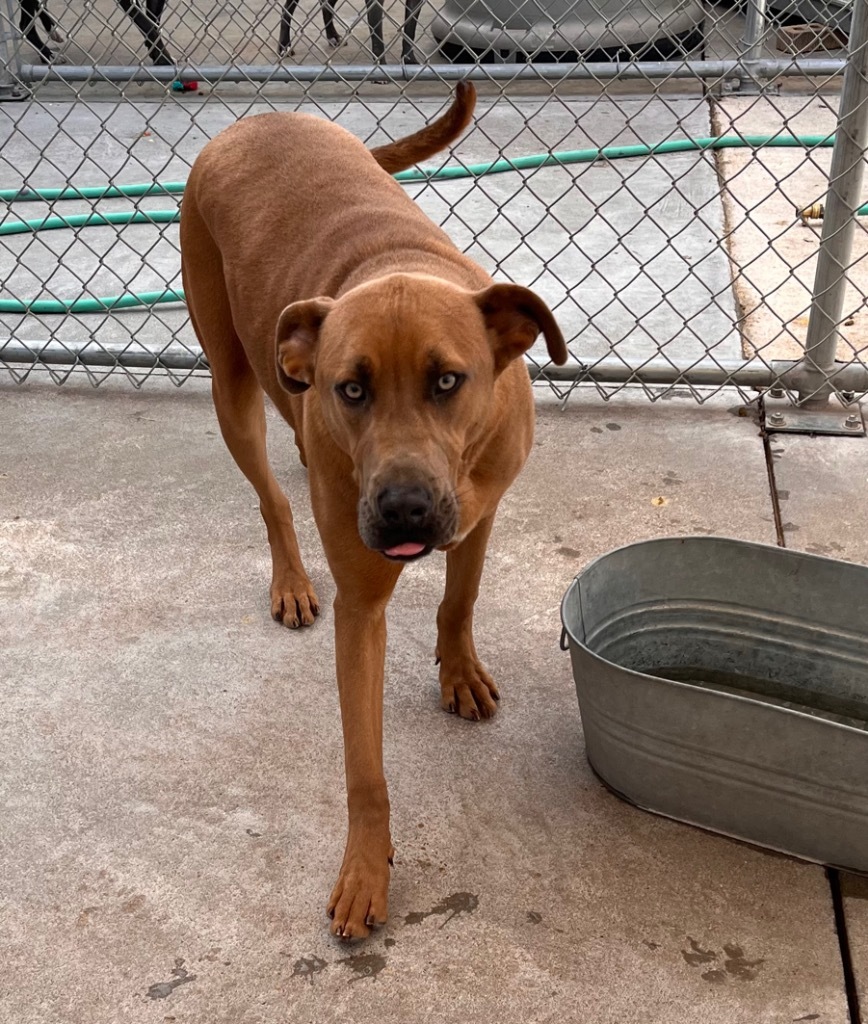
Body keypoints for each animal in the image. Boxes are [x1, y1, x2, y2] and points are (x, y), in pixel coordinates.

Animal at [178, 83, 569, 937]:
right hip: (231, 384)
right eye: (351, 388)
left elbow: (461, 597)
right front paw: (365, 869)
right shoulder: (362, 609)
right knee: (272, 495)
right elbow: (364, 769)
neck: (397, 265)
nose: (404, 510)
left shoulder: (482, 506)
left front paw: (458, 670)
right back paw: (291, 577)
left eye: (448, 381)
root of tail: (255, 119)